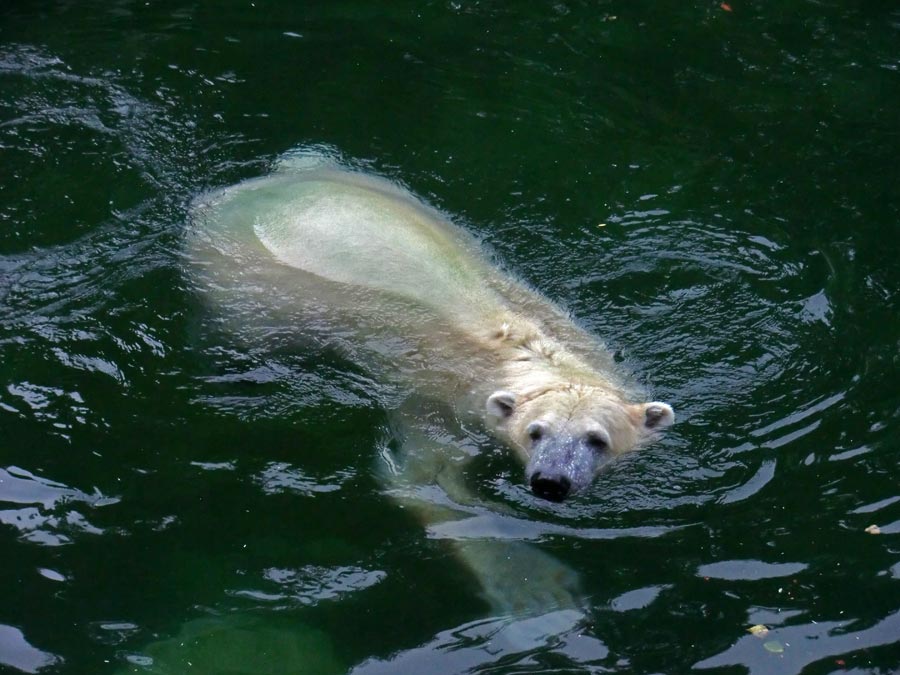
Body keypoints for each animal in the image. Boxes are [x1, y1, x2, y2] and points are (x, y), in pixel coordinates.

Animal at [186, 156, 672, 620]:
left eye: (597, 439)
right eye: (535, 432)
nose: (550, 482)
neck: (524, 359)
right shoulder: (438, 402)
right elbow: (426, 482)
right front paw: (534, 587)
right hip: (243, 284)